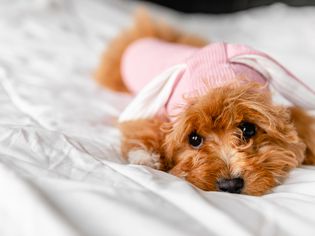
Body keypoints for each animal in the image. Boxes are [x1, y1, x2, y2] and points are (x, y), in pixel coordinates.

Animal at [94, 11, 315, 195]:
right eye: (194, 139)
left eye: (248, 129)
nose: (230, 185)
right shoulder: (154, 111)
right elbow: (145, 128)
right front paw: (145, 156)